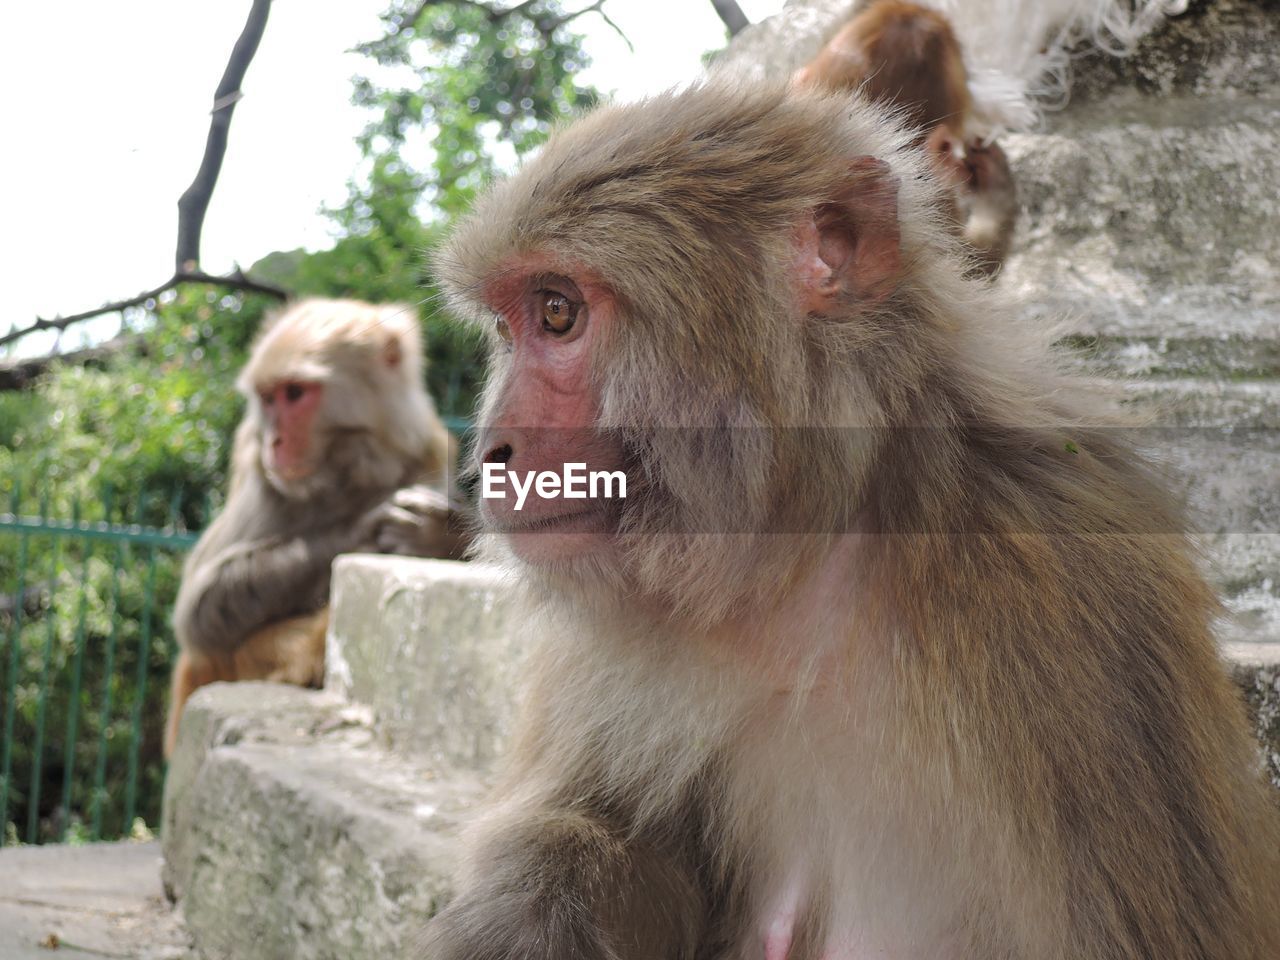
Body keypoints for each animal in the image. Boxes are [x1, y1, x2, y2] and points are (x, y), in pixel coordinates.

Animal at [166, 300, 471, 757]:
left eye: (294, 393)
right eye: (267, 397)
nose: (274, 441)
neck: (346, 470)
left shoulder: (430, 454)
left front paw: (442, 534)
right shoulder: (260, 475)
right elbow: (199, 612)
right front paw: (363, 529)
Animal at [419, 84, 1280, 960]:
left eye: (558, 314)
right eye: (509, 328)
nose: (490, 449)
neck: (804, 552)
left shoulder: (1060, 576)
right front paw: (537, 901)